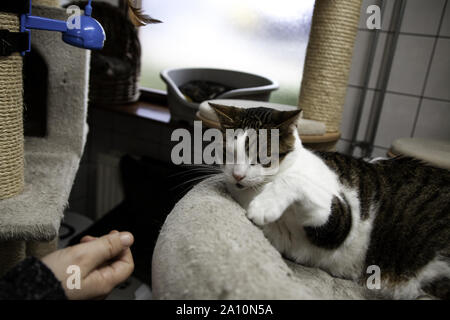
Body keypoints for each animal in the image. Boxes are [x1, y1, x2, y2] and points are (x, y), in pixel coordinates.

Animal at [210, 102, 450, 300]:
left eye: (261, 157)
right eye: (228, 154)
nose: (238, 176)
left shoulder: (340, 218)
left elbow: (295, 181)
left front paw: (264, 205)